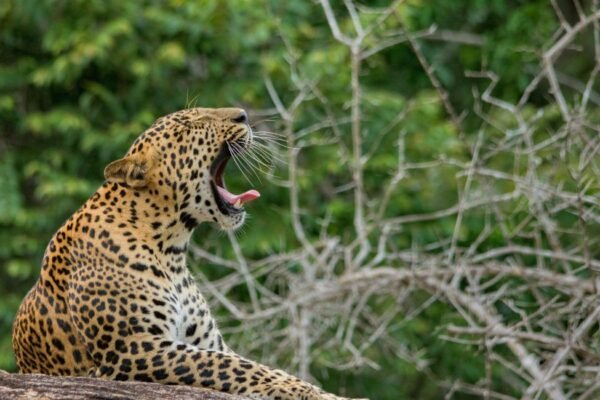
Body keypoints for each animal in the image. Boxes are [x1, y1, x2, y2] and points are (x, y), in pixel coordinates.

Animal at [10, 107, 366, 400]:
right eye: (190, 125)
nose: (243, 115)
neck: (171, 250)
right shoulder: (132, 349)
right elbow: (231, 367)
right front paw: (306, 391)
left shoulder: (207, 341)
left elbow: (242, 362)